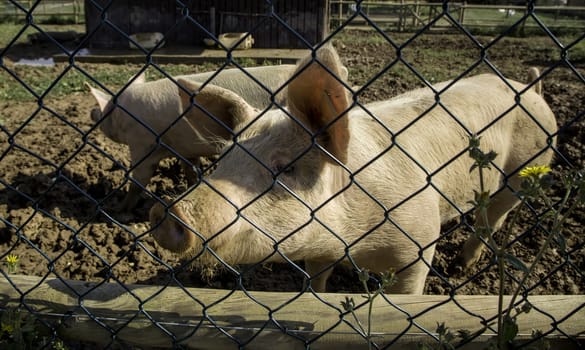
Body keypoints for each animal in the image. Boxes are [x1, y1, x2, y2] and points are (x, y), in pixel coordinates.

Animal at [86, 63, 296, 211]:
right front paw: (188, 188)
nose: (92, 111)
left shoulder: (142, 142)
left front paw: (117, 209)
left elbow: (138, 179)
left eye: (102, 108)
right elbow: (190, 169)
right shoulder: (185, 148)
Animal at [148, 45, 556, 294]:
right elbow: (317, 278)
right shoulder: (319, 249)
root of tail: (529, 89)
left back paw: (459, 268)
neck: (351, 243)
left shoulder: (419, 246)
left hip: (529, 167)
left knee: (494, 218)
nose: (170, 210)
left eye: (285, 168)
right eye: (223, 160)